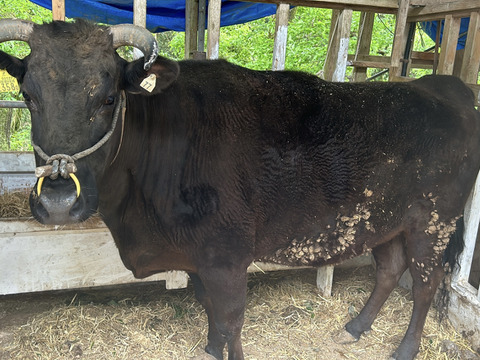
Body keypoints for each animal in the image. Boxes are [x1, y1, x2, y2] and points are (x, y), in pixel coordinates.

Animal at [0, 19, 480, 360]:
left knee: (425, 284)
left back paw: (405, 349)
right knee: (389, 270)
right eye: (28, 96)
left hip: (433, 222)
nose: (58, 201)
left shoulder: (227, 257)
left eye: (108, 98)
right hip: (385, 221)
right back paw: (355, 329)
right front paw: (211, 349)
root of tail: (442, 85)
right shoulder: (199, 260)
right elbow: (211, 311)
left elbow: (230, 319)